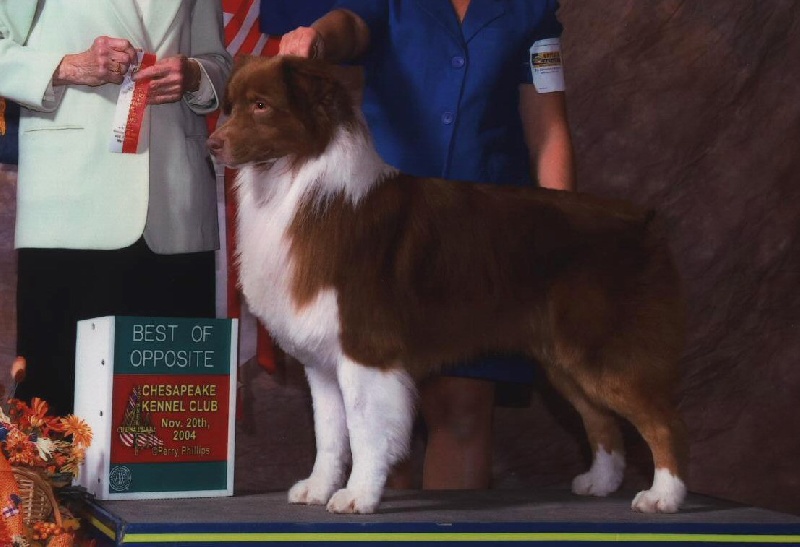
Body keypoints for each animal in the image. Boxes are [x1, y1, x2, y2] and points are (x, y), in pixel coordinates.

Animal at [208, 56, 688, 515]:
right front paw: (318, 488)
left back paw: (663, 496)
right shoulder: (324, 360)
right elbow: (328, 433)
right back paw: (601, 482)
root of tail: (641, 220)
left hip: (605, 349)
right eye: (230, 105)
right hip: (564, 359)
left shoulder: (365, 347)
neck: (296, 179)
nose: (213, 143)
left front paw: (357, 496)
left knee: (660, 420)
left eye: (261, 105)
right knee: (600, 419)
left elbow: (364, 429)